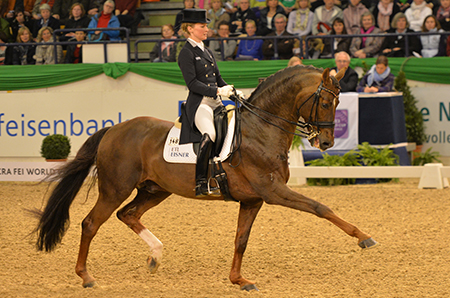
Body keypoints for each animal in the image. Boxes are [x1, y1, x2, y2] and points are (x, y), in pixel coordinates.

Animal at [33, 65, 376, 292]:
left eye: (337, 102)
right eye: (327, 102)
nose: (326, 143)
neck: (262, 129)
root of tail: (114, 129)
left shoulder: (253, 200)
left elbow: (241, 240)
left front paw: (239, 280)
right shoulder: (273, 191)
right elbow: (320, 208)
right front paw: (363, 237)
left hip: (155, 190)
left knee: (127, 214)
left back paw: (155, 256)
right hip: (115, 188)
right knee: (91, 223)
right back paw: (86, 277)